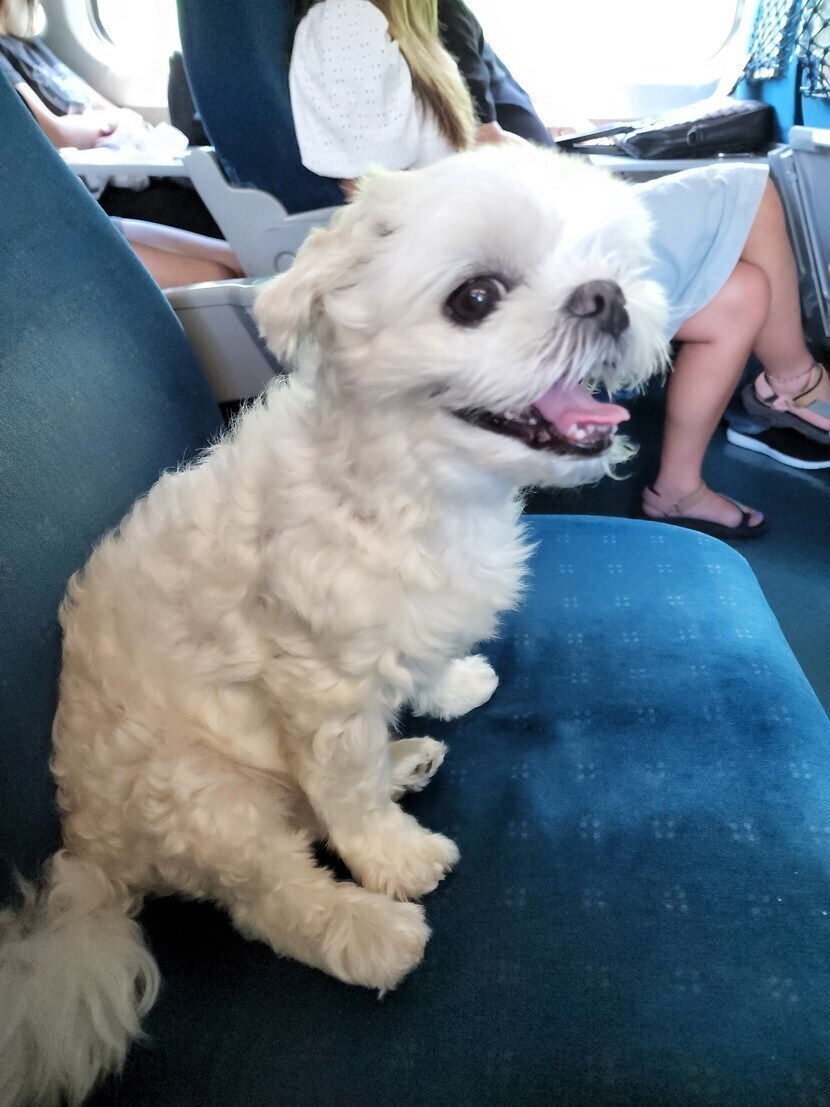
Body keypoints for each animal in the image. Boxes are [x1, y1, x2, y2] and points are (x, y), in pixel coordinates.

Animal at [0, 143, 667, 1107]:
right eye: (475, 297)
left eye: (608, 260)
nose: (606, 296)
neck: (407, 485)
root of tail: (87, 851)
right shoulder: (317, 684)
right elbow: (344, 792)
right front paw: (393, 859)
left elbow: (412, 679)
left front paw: (449, 683)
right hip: (203, 793)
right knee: (273, 892)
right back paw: (368, 927)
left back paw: (406, 756)